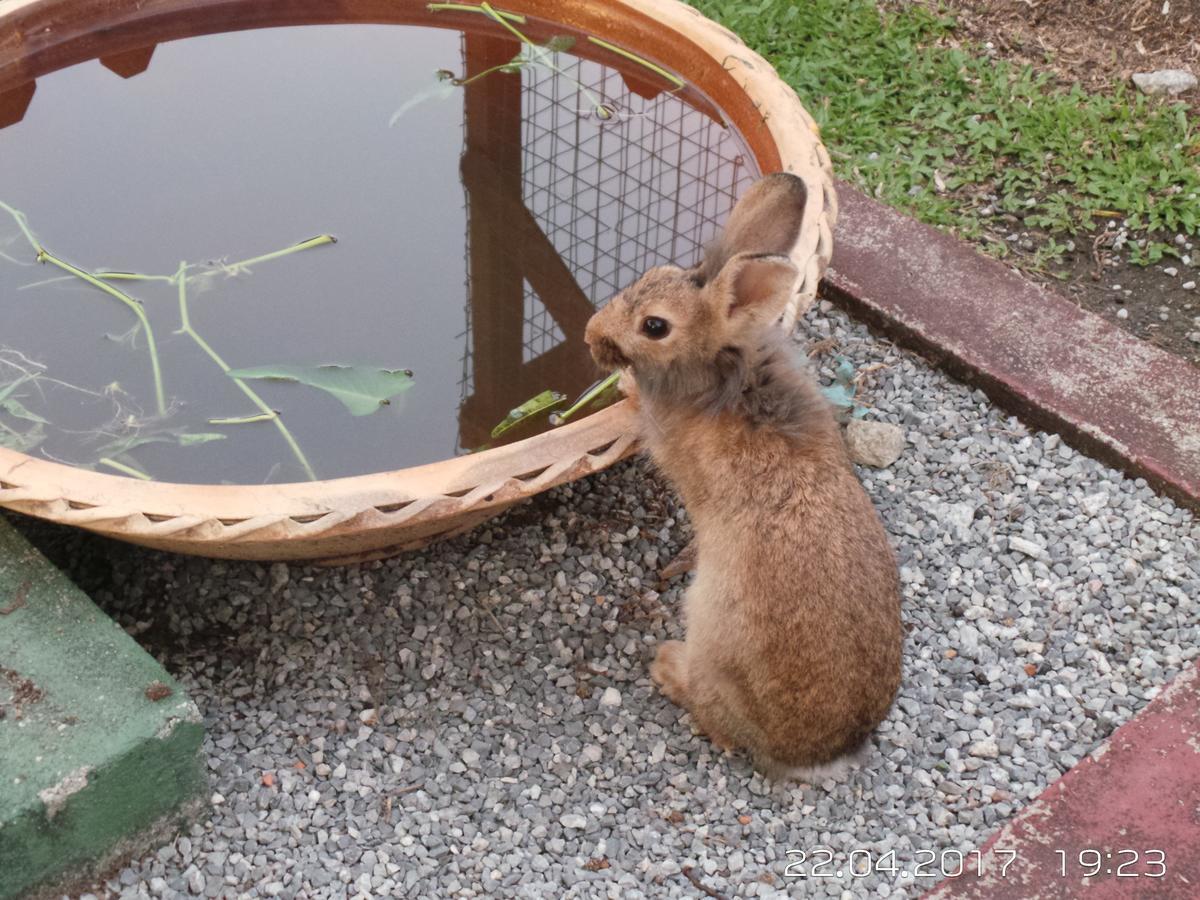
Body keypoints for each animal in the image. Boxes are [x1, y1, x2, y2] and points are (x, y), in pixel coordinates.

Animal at [580, 172, 902, 777]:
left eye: (654, 326)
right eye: (654, 273)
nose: (590, 336)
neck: (723, 369)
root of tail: (814, 754)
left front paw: (624, 387)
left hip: (710, 632)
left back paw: (667, 665)